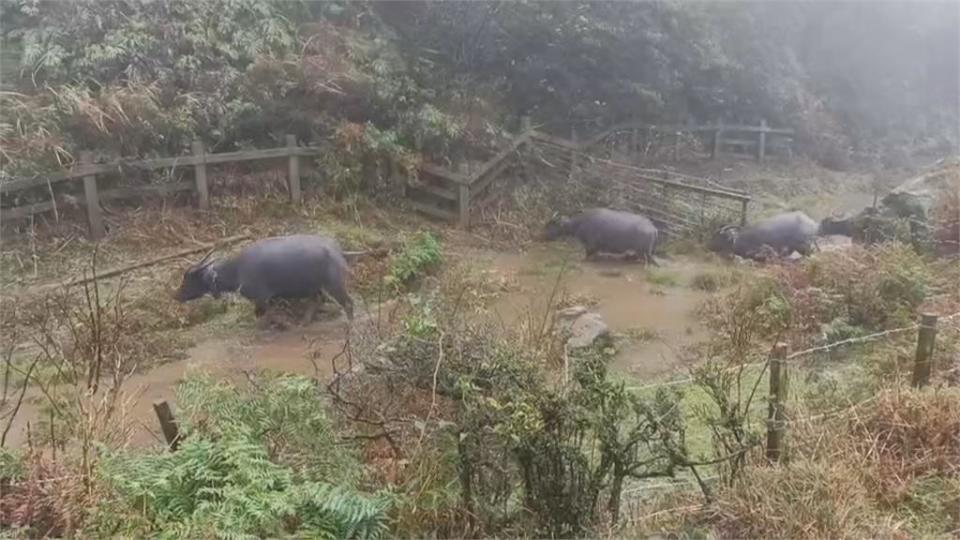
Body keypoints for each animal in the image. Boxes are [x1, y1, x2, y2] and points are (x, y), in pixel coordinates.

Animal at [175, 234, 352, 318]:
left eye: (189, 278)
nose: (177, 296)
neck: (237, 269)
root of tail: (337, 250)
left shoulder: (261, 299)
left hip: (335, 285)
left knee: (348, 304)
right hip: (317, 288)